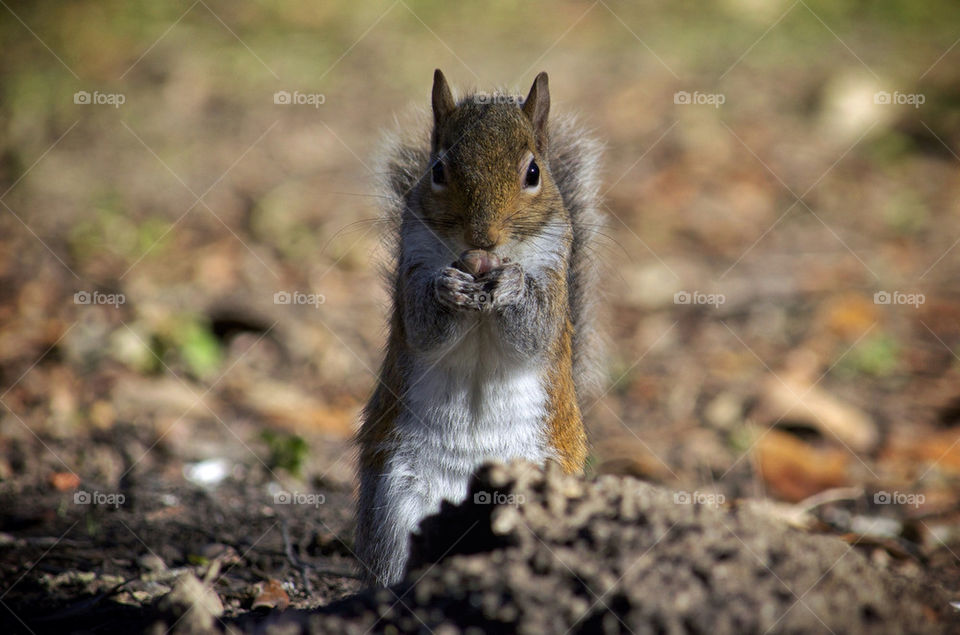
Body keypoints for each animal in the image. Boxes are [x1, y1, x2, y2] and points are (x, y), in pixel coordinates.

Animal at [355, 69, 604, 587]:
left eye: (534, 173)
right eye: (438, 171)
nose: (482, 239)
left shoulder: (554, 273)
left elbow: (534, 331)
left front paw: (511, 284)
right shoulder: (413, 264)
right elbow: (422, 325)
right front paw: (448, 288)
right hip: (397, 505)